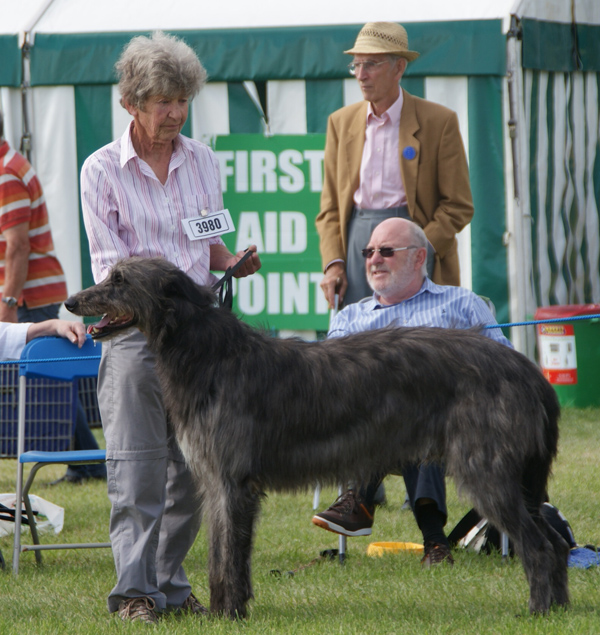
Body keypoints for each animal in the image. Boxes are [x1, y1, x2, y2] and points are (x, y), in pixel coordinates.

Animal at [65, 256, 568, 620]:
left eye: (119, 279)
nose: (70, 302)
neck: (208, 355)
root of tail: (527, 369)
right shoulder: (217, 483)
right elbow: (221, 555)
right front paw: (226, 610)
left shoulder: (233, 482)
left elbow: (230, 554)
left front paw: (229, 614)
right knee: (557, 541)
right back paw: (561, 608)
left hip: (487, 470)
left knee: (538, 544)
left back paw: (536, 612)